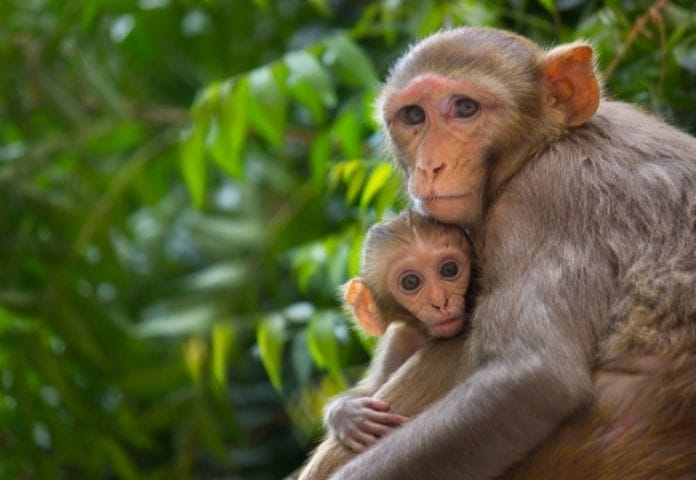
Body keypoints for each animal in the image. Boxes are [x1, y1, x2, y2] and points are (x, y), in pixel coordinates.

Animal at [298, 212, 473, 478]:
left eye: (449, 269)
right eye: (411, 282)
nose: (439, 302)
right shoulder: (398, 341)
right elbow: (374, 388)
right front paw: (346, 414)